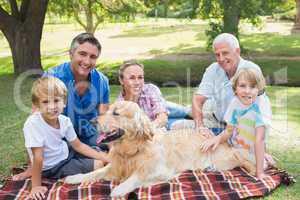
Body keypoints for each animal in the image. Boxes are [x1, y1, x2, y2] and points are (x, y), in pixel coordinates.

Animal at [65, 101, 255, 198]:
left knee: (241, 156)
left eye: (116, 113)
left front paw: (119, 189)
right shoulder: (115, 166)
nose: (92, 121)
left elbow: (137, 177)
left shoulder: (161, 171)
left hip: (225, 159)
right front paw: (75, 177)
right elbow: (94, 173)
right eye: (108, 110)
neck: (132, 150)